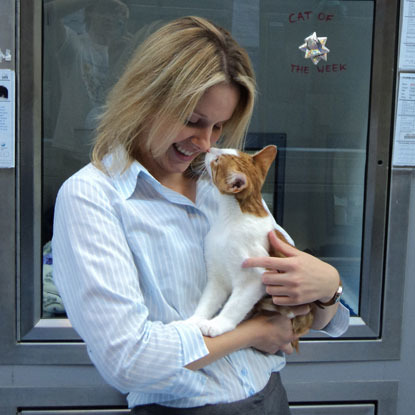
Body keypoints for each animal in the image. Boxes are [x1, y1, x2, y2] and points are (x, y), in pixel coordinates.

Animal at [190, 146, 314, 348]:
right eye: (223, 151)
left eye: (217, 160)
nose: (210, 148)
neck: (229, 221)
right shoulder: (217, 277)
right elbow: (207, 302)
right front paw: (192, 321)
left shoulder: (255, 278)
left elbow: (234, 306)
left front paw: (217, 324)